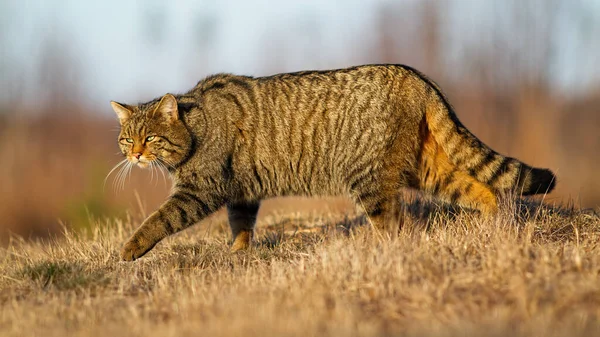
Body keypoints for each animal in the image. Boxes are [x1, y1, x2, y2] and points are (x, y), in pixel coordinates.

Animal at [110, 64, 556, 262]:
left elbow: (160, 219)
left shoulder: (200, 190)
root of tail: (415, 75)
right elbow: (241, 226)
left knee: (393, 224)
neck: (196, 126)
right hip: (428, 168)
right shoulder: (242, 191)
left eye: (150, 138)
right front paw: (238, 255)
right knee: (482, 189)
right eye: (127, 138)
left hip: (370, 180)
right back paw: (497, 226)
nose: (134, 155)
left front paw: (131, 247)